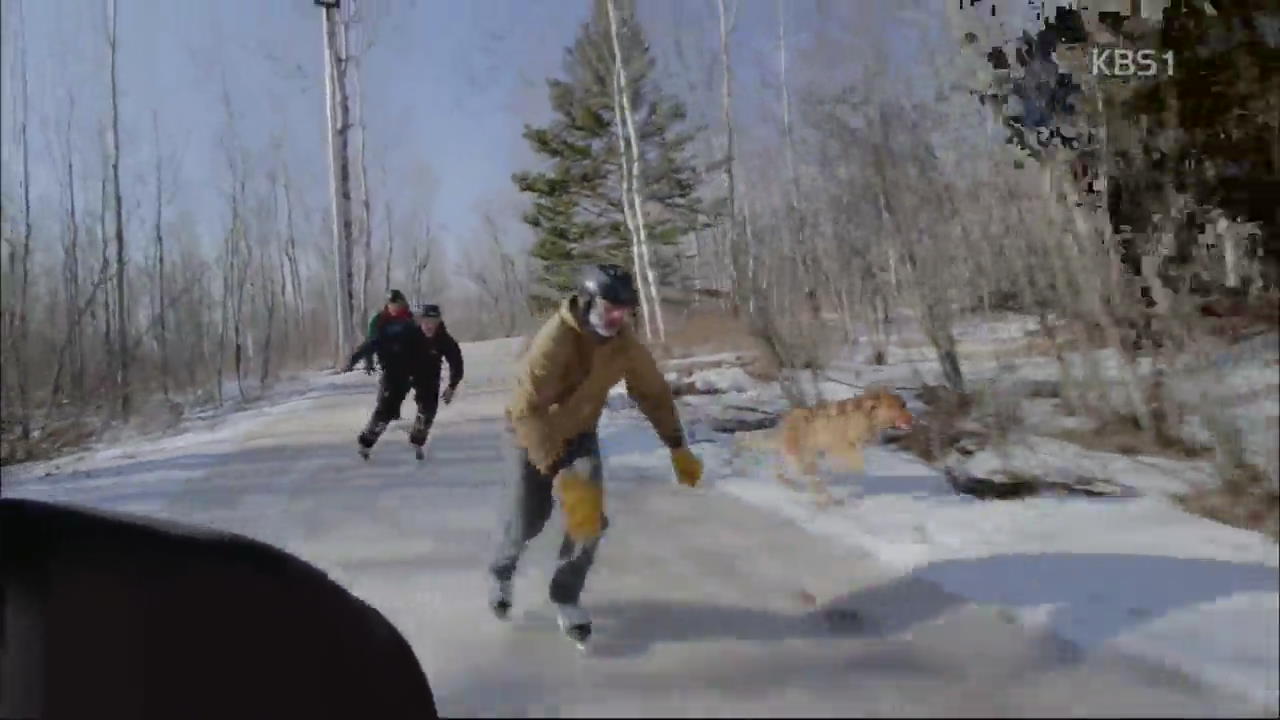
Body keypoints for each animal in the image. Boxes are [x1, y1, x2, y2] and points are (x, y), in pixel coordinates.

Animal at [742, 386, 911, 504]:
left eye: (904, 404)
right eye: (896, 406)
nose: (912, 419)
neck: (866, 415)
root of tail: (786, 420)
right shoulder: (843, 447)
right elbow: (857, 465)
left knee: (783, 469)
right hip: (801, 456)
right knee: (807, 477)